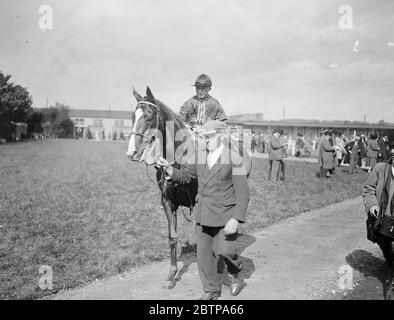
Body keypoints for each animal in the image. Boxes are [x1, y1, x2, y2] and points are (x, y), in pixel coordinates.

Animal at [126, 86, 251, 288]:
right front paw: (171, 275)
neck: (180, 157)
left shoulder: (197, 202)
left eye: (149, 116)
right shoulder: (168, 202)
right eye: (132, 116)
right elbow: (173, 237)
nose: (132, 152)